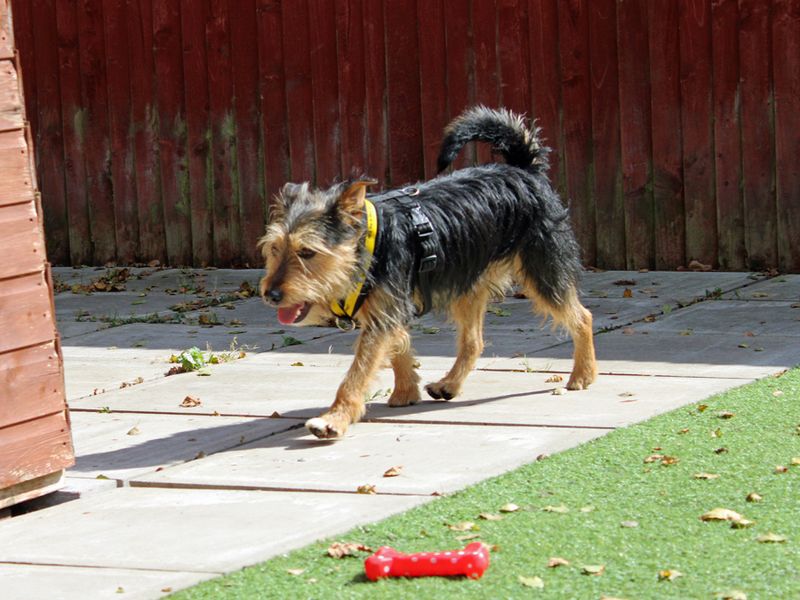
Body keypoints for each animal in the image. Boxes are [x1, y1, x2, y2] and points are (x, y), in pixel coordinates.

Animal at [260, 106, 596, 440]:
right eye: (275, 248)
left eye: (307, 252)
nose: (271, 295)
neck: (367, 246)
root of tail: (524, 169)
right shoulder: (389, 309)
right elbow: (399, 345)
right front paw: (406, 391)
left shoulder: (384, 313)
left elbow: (358, 371)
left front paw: (335, 418)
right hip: (469, 281)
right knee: (473, 341)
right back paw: (450, 383)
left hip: (543, 270)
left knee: (582, 317)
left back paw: (584, 374)